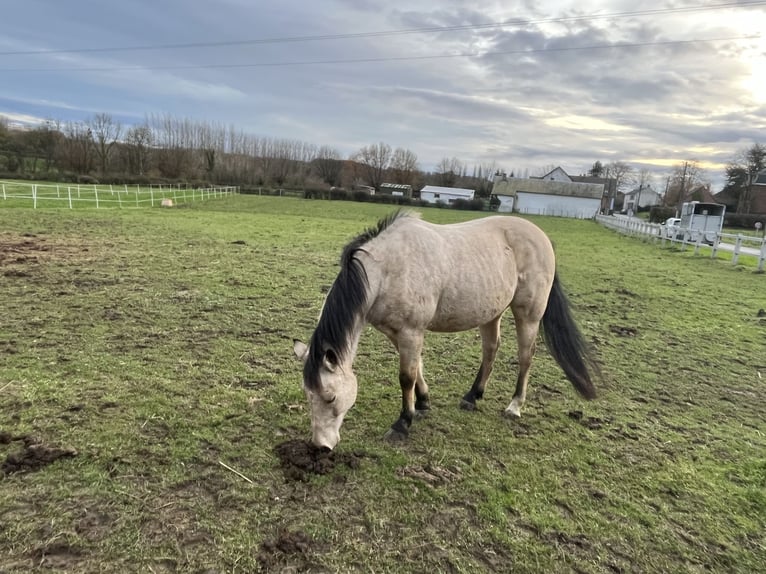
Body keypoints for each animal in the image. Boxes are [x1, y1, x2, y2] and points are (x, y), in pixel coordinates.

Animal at [294, 209, 600, 452]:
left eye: (330, 397)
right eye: (307, 395)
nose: (321, 446)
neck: (387, 270)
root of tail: (542, 237)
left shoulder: (411, 331)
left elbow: (406, 376)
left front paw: (403, 423)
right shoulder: (398, 333)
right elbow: (417, 368)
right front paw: (423, 403)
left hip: (529, 314)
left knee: (526, 356)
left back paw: (514, 406)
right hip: (491, 312)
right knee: (491, 349)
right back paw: (472, 396)